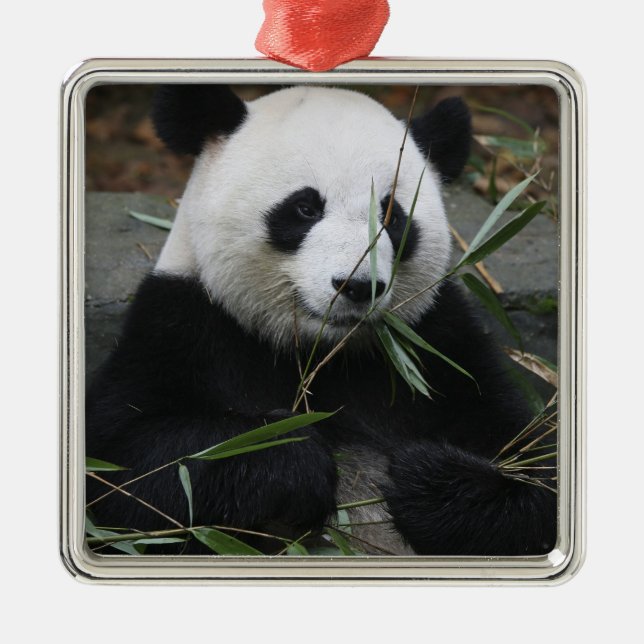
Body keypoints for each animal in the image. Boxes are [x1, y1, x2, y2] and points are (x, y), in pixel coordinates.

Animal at [86, 84, 556, 556]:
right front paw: (293, 457)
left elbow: (535, 465)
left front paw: (425, 481)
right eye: (305, 208)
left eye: (391, 215)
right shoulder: (183, 325)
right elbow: (127, 470)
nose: (358, 286)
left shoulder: (439, 344)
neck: (322, 354)